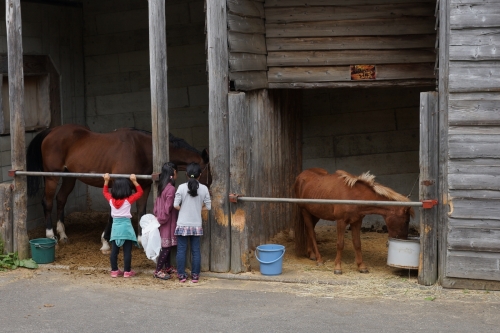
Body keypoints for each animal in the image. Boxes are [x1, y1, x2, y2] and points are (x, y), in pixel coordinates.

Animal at [26, 124, 212, 252]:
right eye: (207, 171)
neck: (141, 149)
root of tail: (51, 131)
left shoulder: (144, 187)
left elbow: (141, 210)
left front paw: (140, 240)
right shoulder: (119, 185)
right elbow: (112, 214)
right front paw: (105, 242)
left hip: (69, 178)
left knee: (61, 199)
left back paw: (63, 235)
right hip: (52, 177)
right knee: (48, 202)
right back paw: (51, 236)